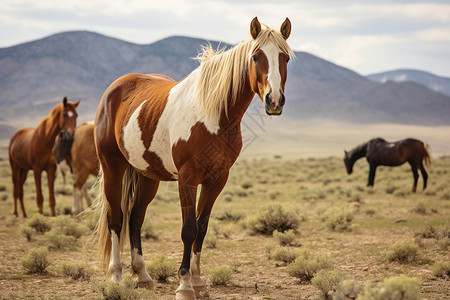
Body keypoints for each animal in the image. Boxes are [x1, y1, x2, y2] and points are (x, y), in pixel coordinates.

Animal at [93, 17, 294, 300]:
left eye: (285, 57)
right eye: (256, 57)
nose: (274, 100)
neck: (213, 116)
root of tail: (114, 89)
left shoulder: (216, 180)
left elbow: (202, 228)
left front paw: (198, 282)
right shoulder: (187, 178)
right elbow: (188, 230)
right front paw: (185, 286)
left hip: (147, 177)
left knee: (135, 219)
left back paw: (143, 276)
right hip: (113, 168)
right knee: (116, 219)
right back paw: (116, 277)